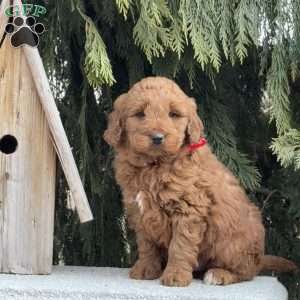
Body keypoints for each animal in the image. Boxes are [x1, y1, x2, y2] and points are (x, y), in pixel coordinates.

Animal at [104, 77, 296, 286]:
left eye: (173, 114)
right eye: (139, 114)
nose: (157, 138)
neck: (155, 166)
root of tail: (260, 257)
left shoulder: (188, 209)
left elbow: (180, 246)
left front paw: (176, 276)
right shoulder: (140, 211)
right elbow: (147, 244)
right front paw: (146, 269)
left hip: (233, 243)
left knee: (246, 272)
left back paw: (219, 274)